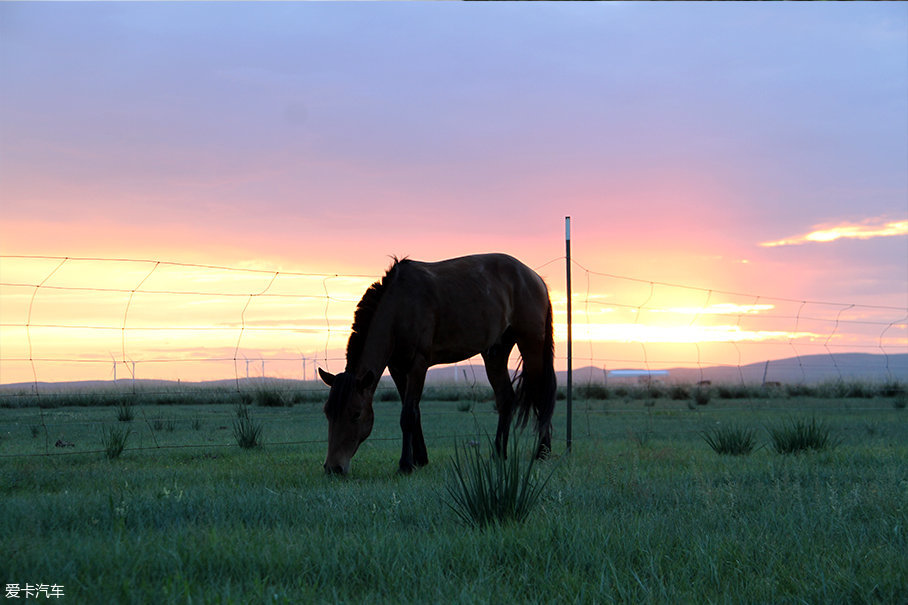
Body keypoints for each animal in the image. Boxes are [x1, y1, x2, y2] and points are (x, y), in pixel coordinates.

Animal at [320, 252, 560, 474]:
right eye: (328, 412)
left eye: (356, 414)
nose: (333, 467)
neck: (400, 306)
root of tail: (535, 278)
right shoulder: (397, 368)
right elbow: (414, 412)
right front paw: (419, 459)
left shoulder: (418, 365)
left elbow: (408, 415)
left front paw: (405, 465)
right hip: (495, 352)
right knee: (506, 399)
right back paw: (498, 454)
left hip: (531, 343)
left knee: (540, 395)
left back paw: (542, 452)